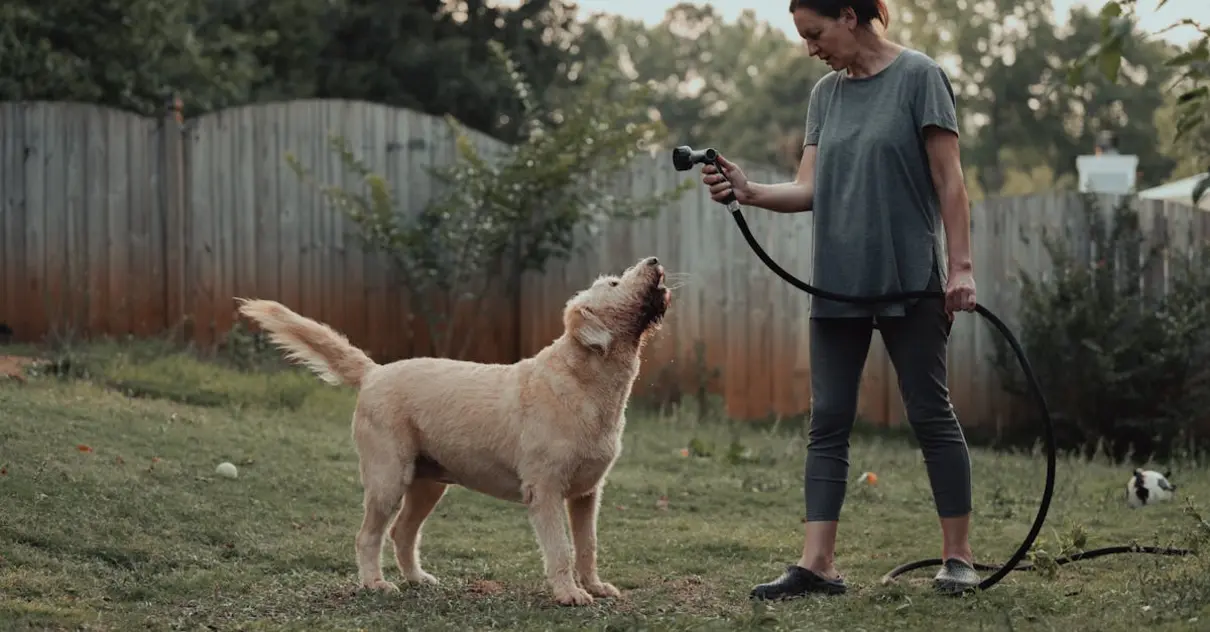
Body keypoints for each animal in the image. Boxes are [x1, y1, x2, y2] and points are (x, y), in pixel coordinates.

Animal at [233, 253, 672, 602]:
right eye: (613, 283)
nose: (653, 260)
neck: (583, 383)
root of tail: (373, 373)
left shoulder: (585, 494)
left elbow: (587, 545)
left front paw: (594, 586)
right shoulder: (545, 491)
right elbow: (561, 549)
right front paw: (569, 593)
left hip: (429, 484)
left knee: (402, 533)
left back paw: (416, 579)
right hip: (387, 479)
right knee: (369, 536)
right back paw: (375, 583)